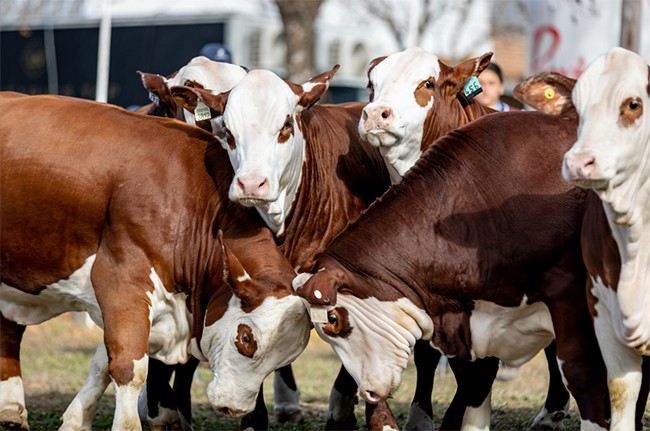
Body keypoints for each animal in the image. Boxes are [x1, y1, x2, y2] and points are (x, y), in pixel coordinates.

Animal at [0, 92, 308, 431]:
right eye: (246, 338)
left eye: (285, 361)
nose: (234, 408)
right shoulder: (122, 283)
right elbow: (128, 367)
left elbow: (102, 363)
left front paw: (76, 420)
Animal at [296, 106, 612, 430]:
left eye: (333, 319)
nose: (369, 392)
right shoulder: (473, 322)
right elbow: (476, 383)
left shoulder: (570, 299)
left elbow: (583, 374)